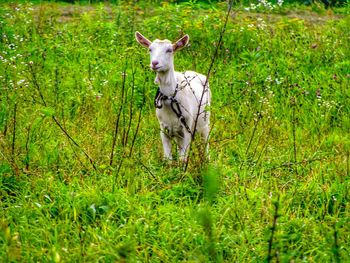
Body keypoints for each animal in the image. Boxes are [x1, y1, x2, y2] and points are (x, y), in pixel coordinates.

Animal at [135, 32, 209, 162]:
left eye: (169, 50)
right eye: (150, 49)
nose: (154, 63)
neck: (170, 98)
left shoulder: (187, 127)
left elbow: (182, 158)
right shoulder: (163, 128)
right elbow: (168, 159)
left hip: (205, 120)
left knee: (206, 142)